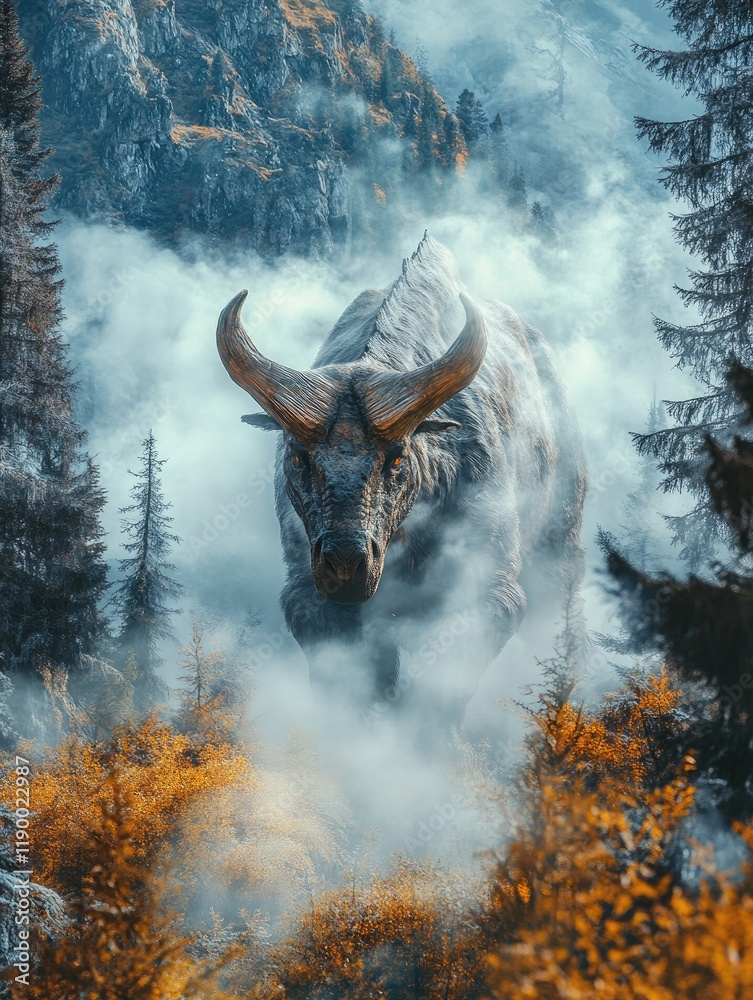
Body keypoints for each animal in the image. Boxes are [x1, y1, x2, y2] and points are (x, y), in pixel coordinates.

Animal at [216, 235, 587, 731]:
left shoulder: (488, 589)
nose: (346, 563)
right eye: (298, 456)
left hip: (560, 544)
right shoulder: (310, 598)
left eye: (396, 457)